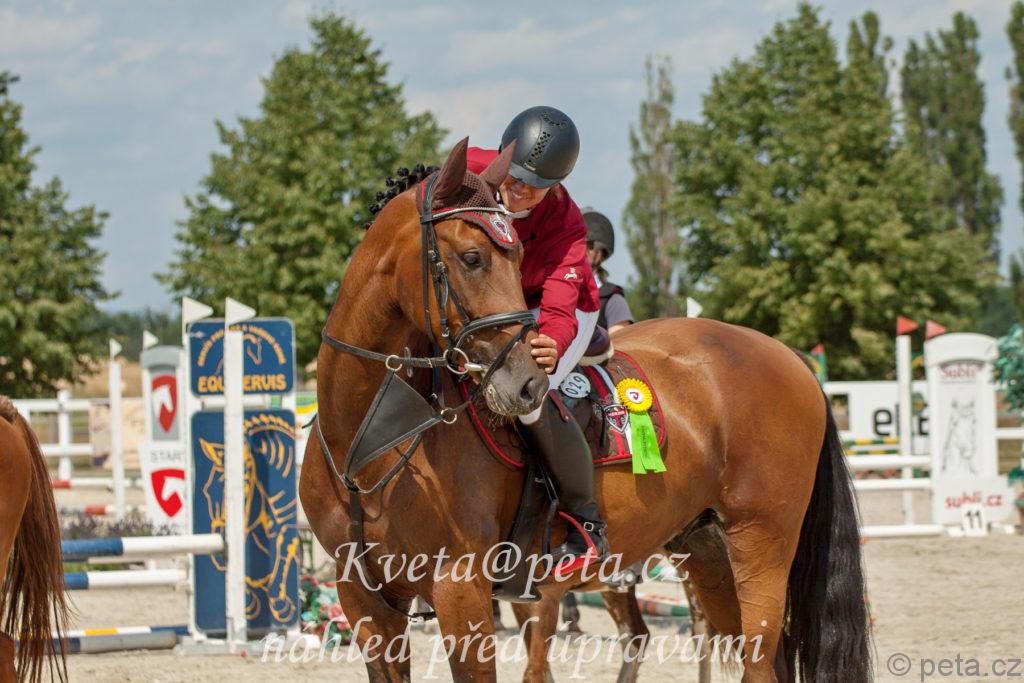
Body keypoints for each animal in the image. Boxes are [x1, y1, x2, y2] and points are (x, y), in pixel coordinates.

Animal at [299, 138, 871, 682]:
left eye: (515, 255)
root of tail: (791, 358)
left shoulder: (461, 593)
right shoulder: (365, 602)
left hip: (761, 546)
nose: (527, 385)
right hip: (706, 550)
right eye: (472, 257)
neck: (372, 440)